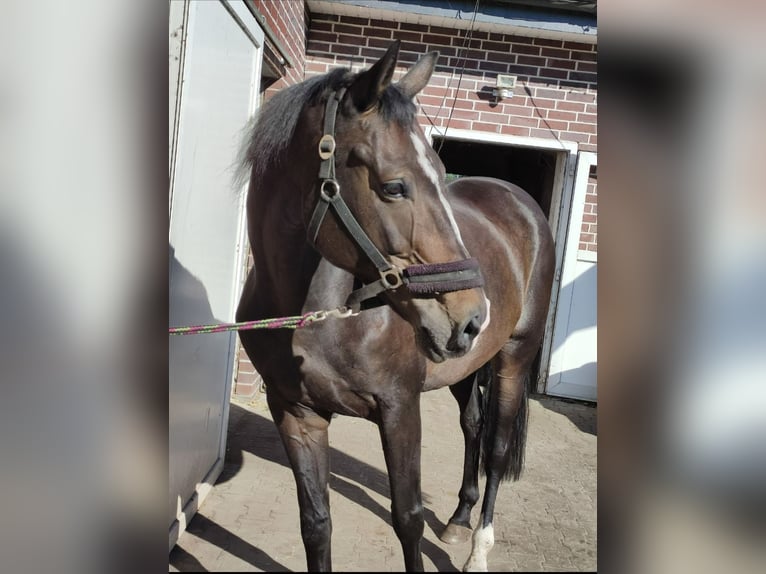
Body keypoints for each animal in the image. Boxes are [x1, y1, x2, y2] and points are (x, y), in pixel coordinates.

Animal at [237, 39, 556, 572]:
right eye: (392, 186)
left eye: (441, 175)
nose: (473, 316)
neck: (318, 316)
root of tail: (521, 201)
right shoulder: (296, 413)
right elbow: (316, 524)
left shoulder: (400, 408)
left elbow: (407, 518)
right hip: (464, 366)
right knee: (473, 425)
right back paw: (457, 519)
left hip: (513, 358)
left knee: (495, 448)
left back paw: (478, 549)